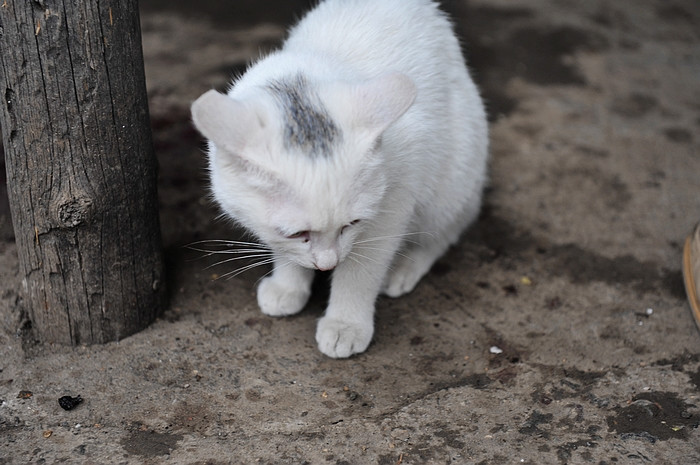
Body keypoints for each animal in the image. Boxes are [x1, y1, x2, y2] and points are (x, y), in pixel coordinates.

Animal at [189, 0, 490, 358]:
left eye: (353, 223)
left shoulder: (391, 205)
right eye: (297, 233)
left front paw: (346, 324)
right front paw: (289, 284)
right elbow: (286, 249)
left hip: (454, 176)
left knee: (450, 227)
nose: (326, 264)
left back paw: (406, 265)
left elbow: (362, 268)